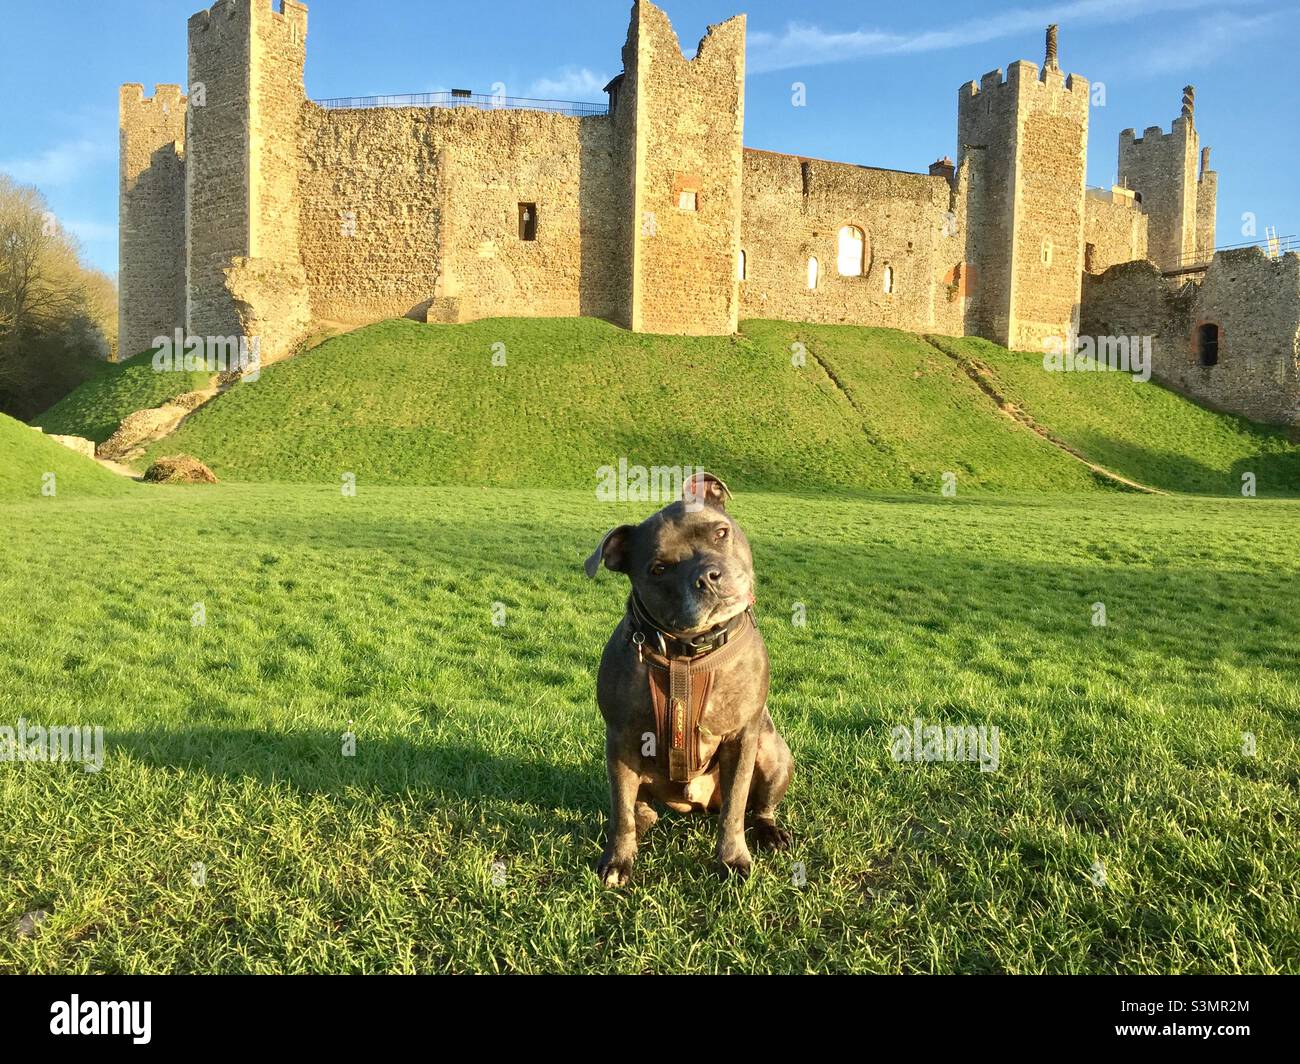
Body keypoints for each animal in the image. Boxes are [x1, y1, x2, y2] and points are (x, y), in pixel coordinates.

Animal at [587, 470, 790, 879]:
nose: (708, 576)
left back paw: (769, 832)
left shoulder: (742, 738)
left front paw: (733, 858)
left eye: (720, 533)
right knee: (638, 807)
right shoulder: (621, 739)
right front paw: (618, 859)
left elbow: (734, 807)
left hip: (773, 751)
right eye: (659, 569)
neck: (685, 653)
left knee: (758, 807)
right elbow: (620, 809)